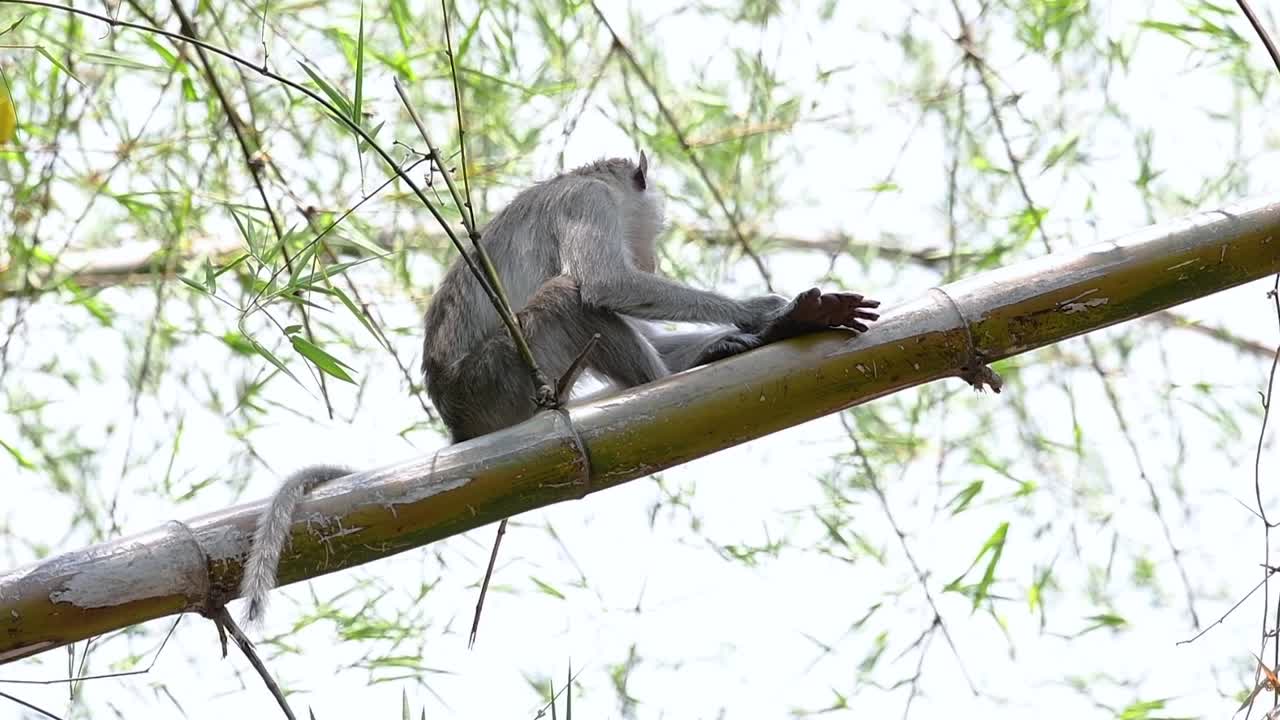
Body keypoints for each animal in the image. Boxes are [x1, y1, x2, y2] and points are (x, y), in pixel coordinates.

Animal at [239, 152, 880, 624]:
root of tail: (458, 425)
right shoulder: (587, 203)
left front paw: (765, 328)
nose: (654, 254)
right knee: (567, 296)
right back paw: (666, 383)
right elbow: (606, 285)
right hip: (501, 379)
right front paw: (771, 316)